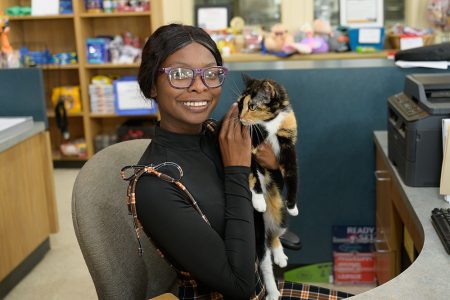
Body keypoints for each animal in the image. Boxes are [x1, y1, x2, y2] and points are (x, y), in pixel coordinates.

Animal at [236, 74, 298, 298]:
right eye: (239, 104)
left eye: (252, 106)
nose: (240, 118)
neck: (270, 123)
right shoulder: (248, 147)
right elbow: (252, 174)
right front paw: (258, 200)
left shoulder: (288, 143)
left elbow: (293, 174)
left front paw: (293, 206)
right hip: (256, 231)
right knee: (264, 263)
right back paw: (272, 292)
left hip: (279, 215)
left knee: (274, 234)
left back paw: (279, 255)